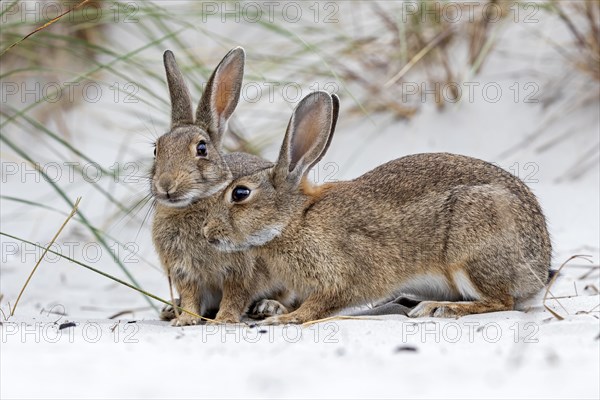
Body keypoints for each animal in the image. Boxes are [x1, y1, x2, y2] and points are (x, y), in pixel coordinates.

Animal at [151, 48, 294, 326]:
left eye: (201, 148)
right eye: (156, 150)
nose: (166, 184)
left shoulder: (240, 269)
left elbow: (235, 295)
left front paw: (224, 320)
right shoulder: (185, 273)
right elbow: (191, 296)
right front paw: (185, 320)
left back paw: (269, 307)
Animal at [203, 91, 552, 324]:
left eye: (240, 193)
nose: (207, 233)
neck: (294, 220)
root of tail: (539, 264)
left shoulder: (342, 277)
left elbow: (319, 305)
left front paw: (285, 318)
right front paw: (273, 309)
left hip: (471, 248)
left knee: (501, 300)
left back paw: (439, 308)